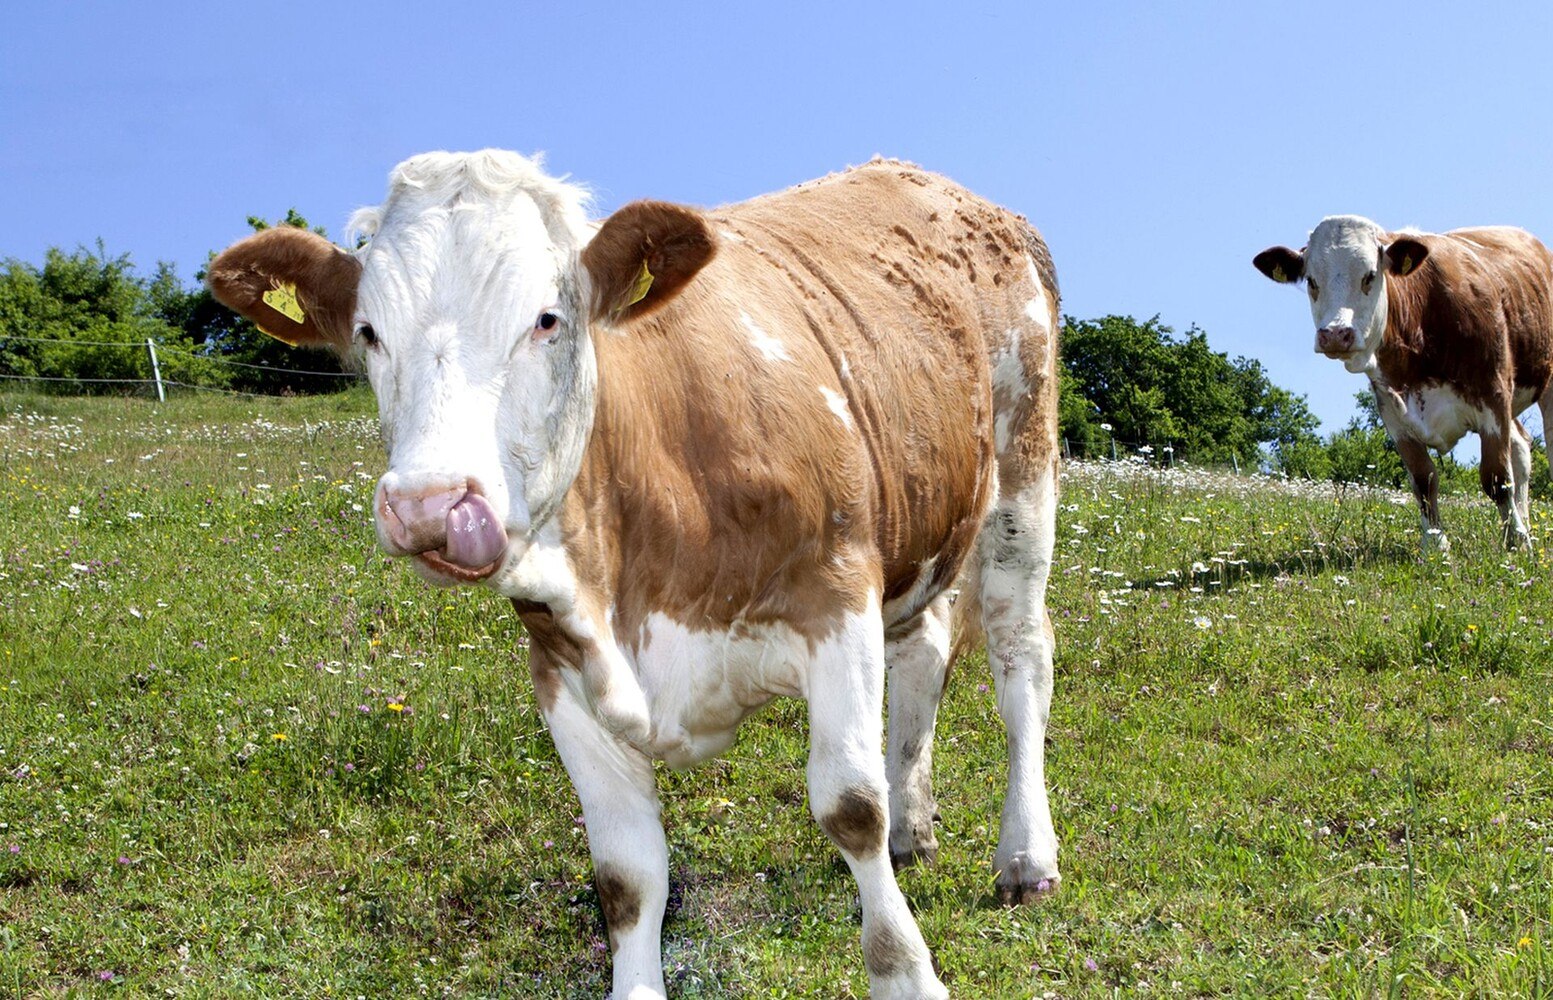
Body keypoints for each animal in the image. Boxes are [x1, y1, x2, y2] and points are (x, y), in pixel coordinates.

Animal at [209, 150, 1068, 1000]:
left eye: (547, 320)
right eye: (369, 333)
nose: (430, 504)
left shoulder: (836, 600)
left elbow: (850, 808)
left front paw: (906, 974)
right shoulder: (559, 668)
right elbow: (626, 876)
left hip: (1021, 475)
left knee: (1020, 658)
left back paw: (1025, 857)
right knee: (924, 650)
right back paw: (913, 826)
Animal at [1254, 214, 1553, 549]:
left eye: (1370, 276)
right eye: (1311, 280)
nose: (1334, 334)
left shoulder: (1494, 397)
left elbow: (1497, 478)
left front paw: (1516, 542)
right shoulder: (1394, 413)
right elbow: (1424, 482)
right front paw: (1436, 546)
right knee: (1521, 447)